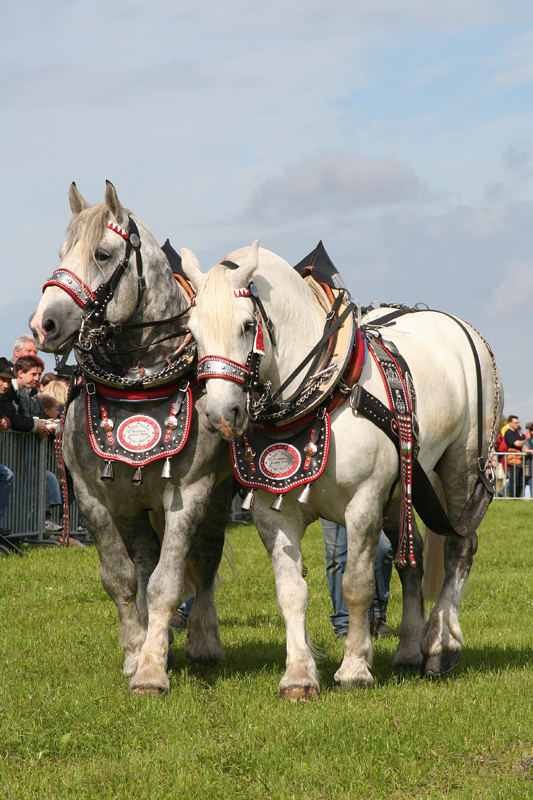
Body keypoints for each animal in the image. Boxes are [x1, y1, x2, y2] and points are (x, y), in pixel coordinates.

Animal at [30, 183, 231, 692]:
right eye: (61, 253)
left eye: (102, 254)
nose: (44, 325)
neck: (138, 380)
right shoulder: (94, 496)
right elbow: (121, 577)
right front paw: (137, 652)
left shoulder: (189, 492)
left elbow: (168, 581)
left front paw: (152, 673)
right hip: (134, 505)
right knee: (144, 559)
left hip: (218, 496)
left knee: (205, 559)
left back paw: (203, 641)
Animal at [181, 244, 500, 700]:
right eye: (192, 331)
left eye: (247, 325)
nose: (222, 415)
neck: (319, 397)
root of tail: (455, 324)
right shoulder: (273, 514)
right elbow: (291, 591)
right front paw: (298, 676)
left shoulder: (363, 503)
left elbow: (357, 585)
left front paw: (354, 669)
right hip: (402, 488)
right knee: (413, 560)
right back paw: (409, 649)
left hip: (462, 466)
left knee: (460, 546)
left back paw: (441, 645)